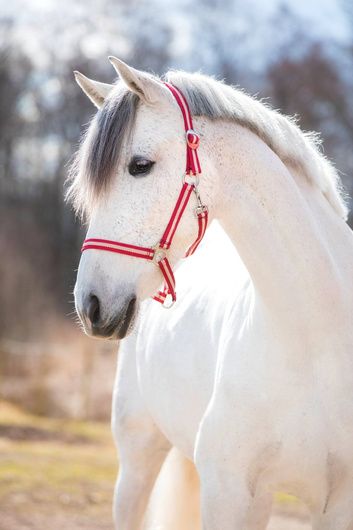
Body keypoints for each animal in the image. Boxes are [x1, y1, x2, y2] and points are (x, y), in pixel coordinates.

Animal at [69, 57, 352, 528]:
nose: (89, 305)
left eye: (140, 165)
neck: (317, 345)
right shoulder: (230, 495)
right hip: (137, 461)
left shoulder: (337, 504)